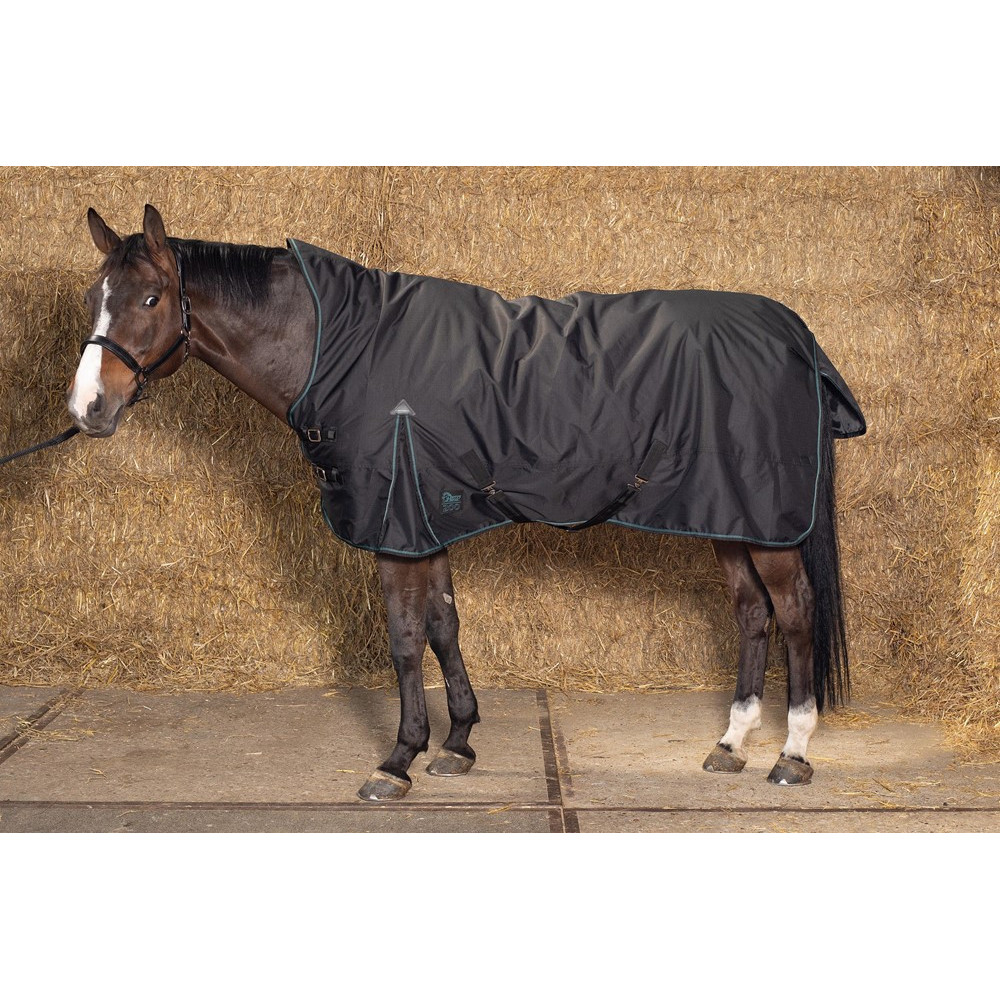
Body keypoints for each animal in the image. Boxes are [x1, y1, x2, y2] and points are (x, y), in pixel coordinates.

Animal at [66, 204, 866, 801]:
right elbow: (445, 626)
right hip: (725, 515)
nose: (87, 409)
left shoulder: (396, 527)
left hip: (765, 522)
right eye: (92, 299)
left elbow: (402, 638)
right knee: (752, 614)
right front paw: (456, 744)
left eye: (150, 299)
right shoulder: (426, 520)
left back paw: (792, 755)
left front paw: (397, 760)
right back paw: (729, 744)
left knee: (796, 615)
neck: (336, 345)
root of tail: (793, 331)